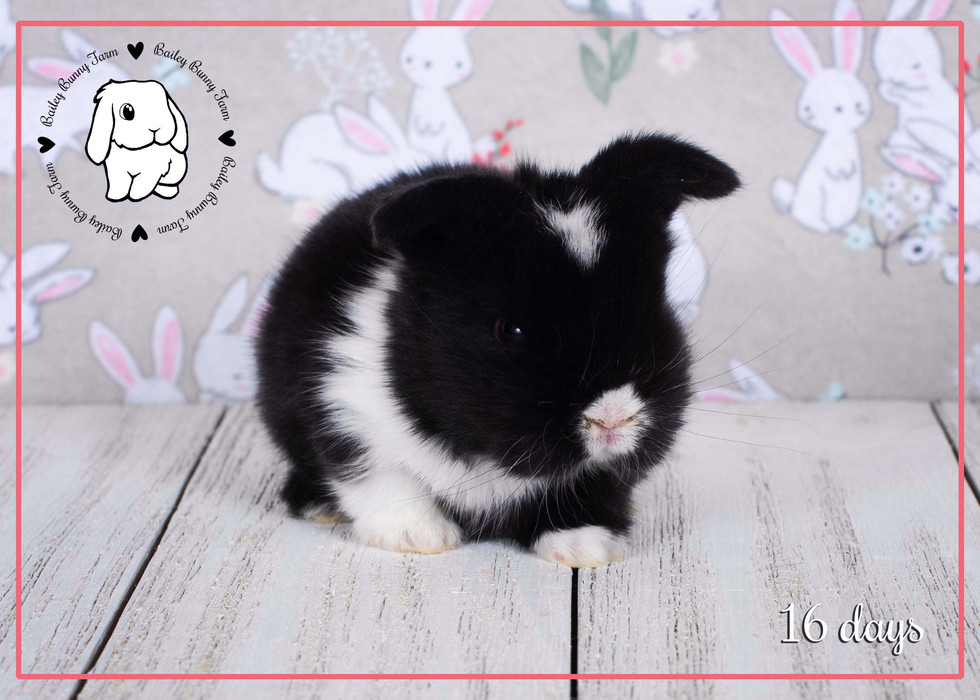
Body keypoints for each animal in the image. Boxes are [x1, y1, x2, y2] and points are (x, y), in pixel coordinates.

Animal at [255, 133, 740, 566]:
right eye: (511, 330)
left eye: (655, 310)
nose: (613, 418)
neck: (491, 454)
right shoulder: (345, 409)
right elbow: (383, 482)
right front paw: (421, 537)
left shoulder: (599, 474)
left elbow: (587, 492)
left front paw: (585, 547)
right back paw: (320, 507)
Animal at [401, 0, 496, 162]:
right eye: (427, 64)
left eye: (459, 63)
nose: (463, 74)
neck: (431, 90)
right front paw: (426, 127)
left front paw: (431, 128)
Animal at [872, 0, 969, 154]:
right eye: (891, 76)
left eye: (916, 65)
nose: (894, 81)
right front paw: (885, 88)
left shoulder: (929, 93)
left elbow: (918, 98)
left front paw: (890, 89)